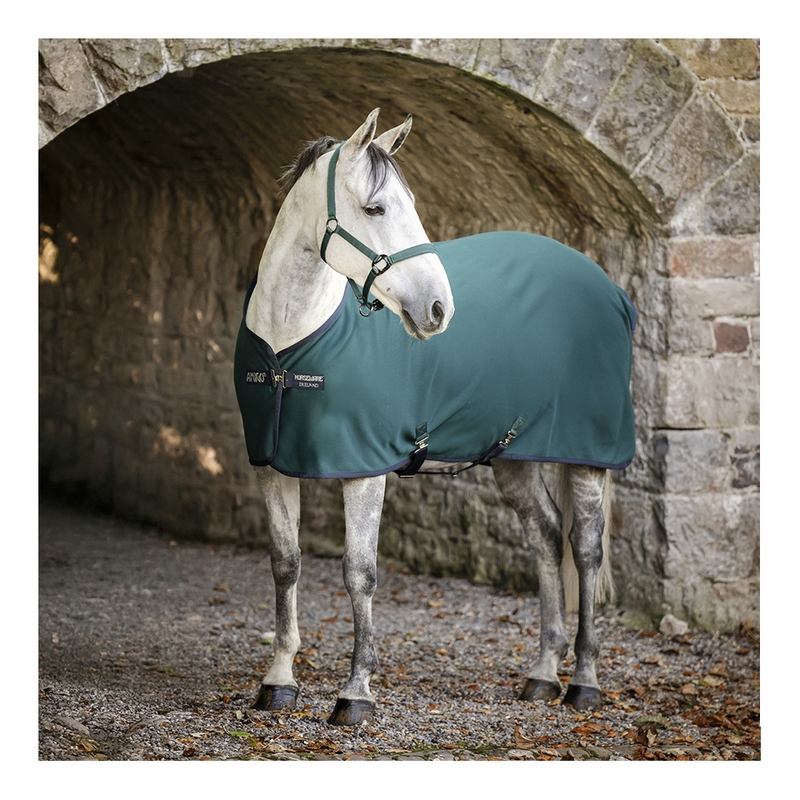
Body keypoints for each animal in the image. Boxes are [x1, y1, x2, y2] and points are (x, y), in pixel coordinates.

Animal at [234, 108, 636, 726]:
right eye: (376, 208)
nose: (439, 310)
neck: (291, 342)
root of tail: (610, 289)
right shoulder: (271, 466)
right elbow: (285, 564)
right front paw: (278, 681)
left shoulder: (364, 470)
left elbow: (359, 573)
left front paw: (356, 692)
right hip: (514, 456)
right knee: (545, 537)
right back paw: (543, 673)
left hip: (588, 456)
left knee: (585, 549)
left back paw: (584, 682)